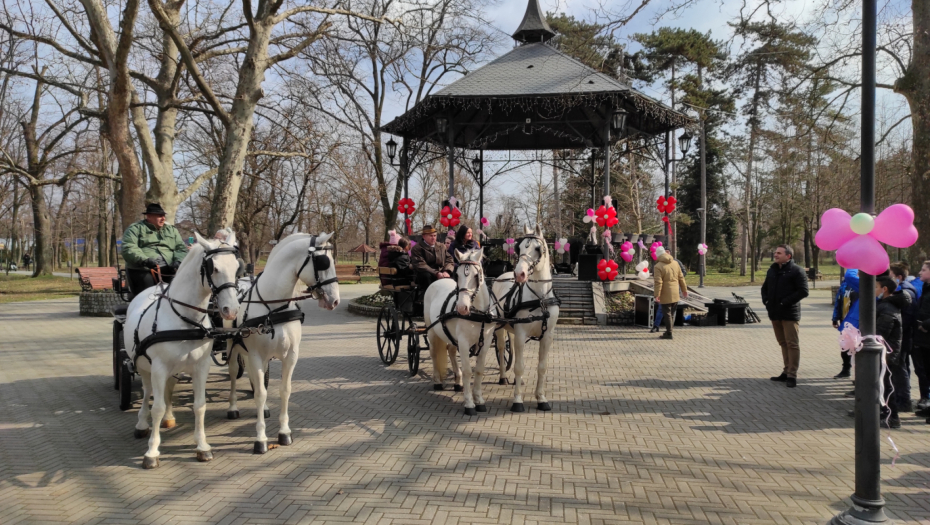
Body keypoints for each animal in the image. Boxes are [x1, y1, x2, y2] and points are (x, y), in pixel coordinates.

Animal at [121, 231, 241, 468]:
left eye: (236, 267)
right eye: (213, 268)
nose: (230, 310)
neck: (185, 320)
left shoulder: (201, 367)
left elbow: (200, 405)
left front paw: (202, 447)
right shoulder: (158, 367)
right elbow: (156, 407)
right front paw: (152, 452)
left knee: (168, 388)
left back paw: (169, 417)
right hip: (144, 365)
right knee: (148, 393)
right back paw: (142, 424)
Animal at [227, 231, 338, 452]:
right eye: (324, 262)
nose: (335, 300)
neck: (273, 307)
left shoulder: (290, 355)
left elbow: (283, 390)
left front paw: (284, 432)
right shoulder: (255, 355)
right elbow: (260, 393)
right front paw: (260, 438)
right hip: (233, 347)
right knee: (234, 372)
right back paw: (233, 407)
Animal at [422, 248, 496, 416]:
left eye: (476, 276)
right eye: (457, 275)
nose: (462, 308)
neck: (478, 313)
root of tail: (438, 280)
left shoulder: (486, 341)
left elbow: (479, 370)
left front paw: (479, 400)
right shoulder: (463, 341)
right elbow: (468, 371)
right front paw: (469, 403)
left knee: (450, 351)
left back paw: (457, 381)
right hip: (432, 332)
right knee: (434, 354)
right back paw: (437, 381)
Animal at [490, 223, 560, 412]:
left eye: (537, 248)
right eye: (519, 248)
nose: (519, 274)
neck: (540, 298)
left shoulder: (547, 336)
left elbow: (542, 367)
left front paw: (541, 398)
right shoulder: (521, 334)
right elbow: (520, 367)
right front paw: (517, 400)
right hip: (499, 327)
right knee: (501, 348)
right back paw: (503, 377)